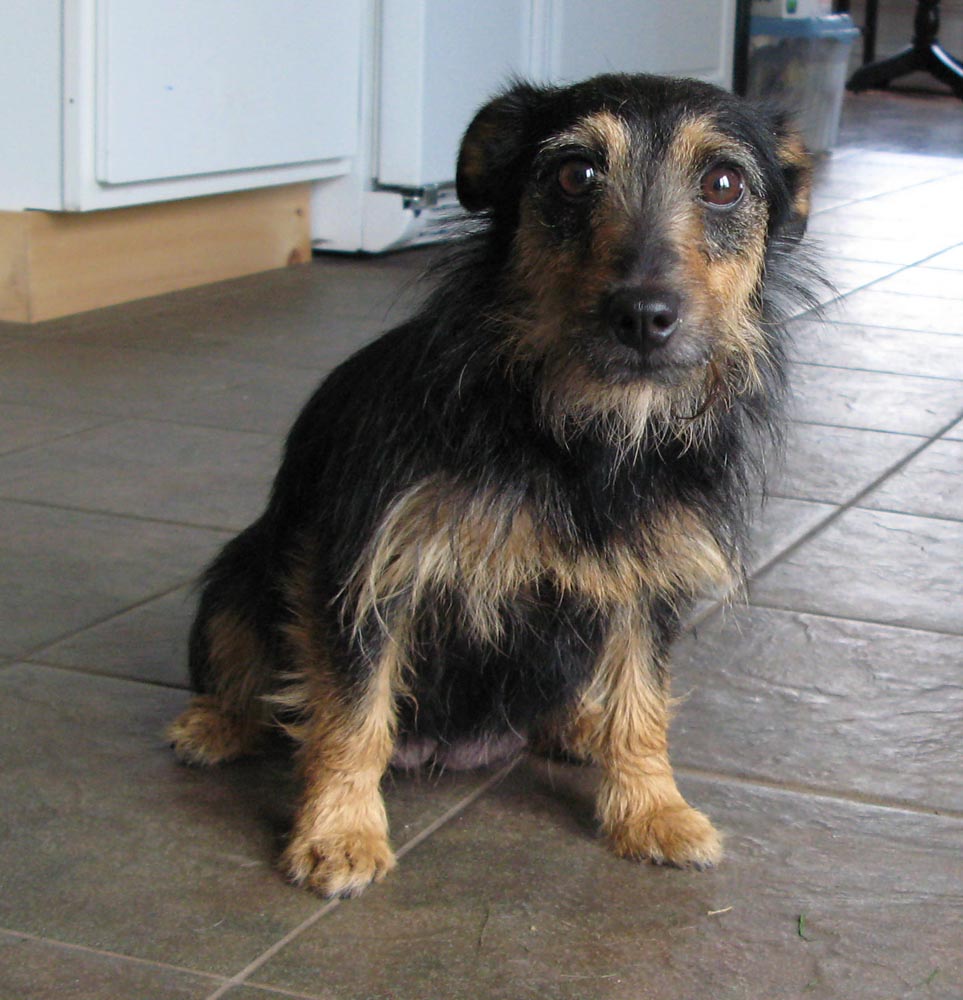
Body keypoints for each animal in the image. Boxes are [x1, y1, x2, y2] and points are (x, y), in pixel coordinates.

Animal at [169, 72, 816, 900]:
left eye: (724, 183)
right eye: (574, 174)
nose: (643, 315)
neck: (574, 435)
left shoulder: (646, 590)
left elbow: (641, 706)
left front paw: (652, 811)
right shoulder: (365, 570)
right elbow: (350, 713)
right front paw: (338, 832)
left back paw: (579, 727)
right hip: (239, 571)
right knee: (251, 675)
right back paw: (217, 723)